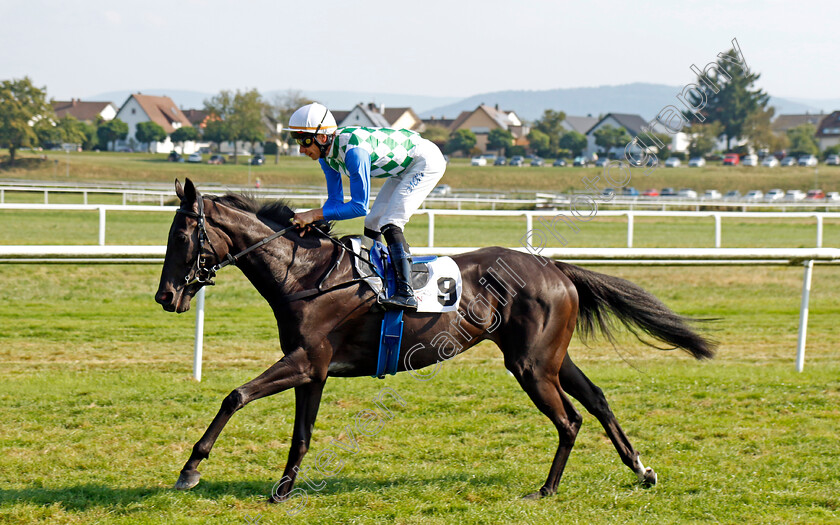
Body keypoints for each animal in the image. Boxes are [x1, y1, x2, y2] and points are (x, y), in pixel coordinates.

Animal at [154, 179, 712, 500]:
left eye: (181, 237)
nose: (165, 296)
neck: (306, 273)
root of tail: (555, 267)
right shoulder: (314, 369)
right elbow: (301, 434)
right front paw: (284, 490)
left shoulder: (306, 360)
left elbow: (235, 396)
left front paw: (190, 470)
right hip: (550, 357)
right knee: (596, 400)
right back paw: (641, 470)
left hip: (531, 366)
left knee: (569, 419)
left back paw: (547, 490)